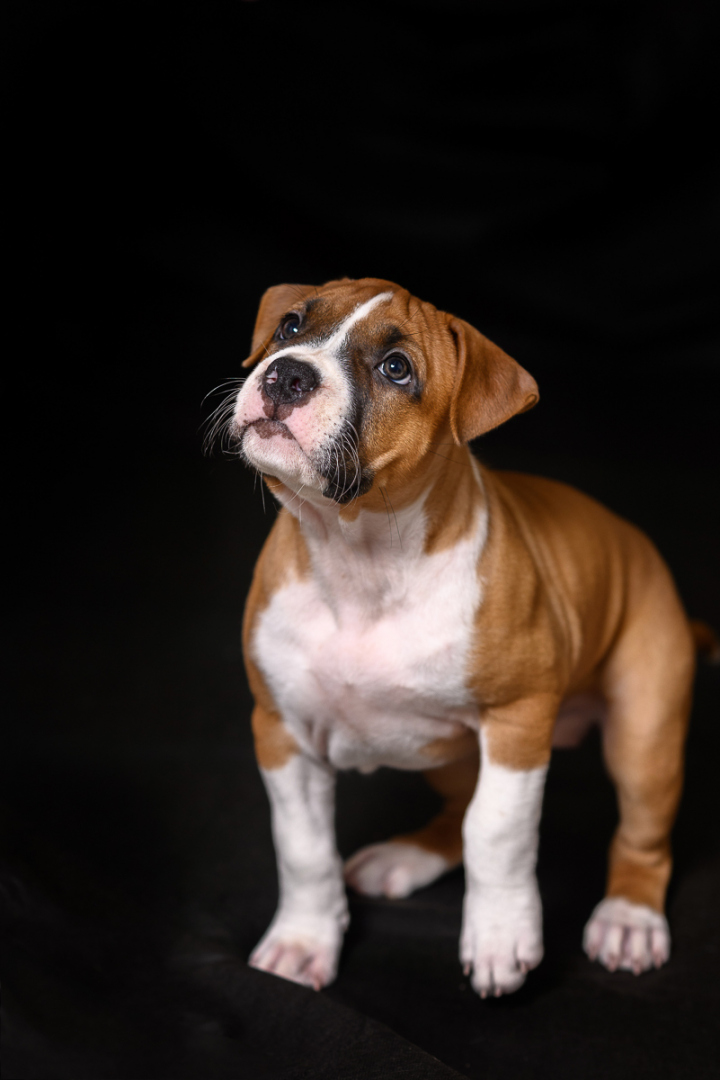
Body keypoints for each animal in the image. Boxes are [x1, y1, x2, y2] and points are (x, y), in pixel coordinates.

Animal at [226, 276, 699, 993]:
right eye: (290, 327)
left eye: (397, 369)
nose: (288, 375)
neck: (360, 555)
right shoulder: (282, 732)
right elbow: (303, 846)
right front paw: (304, 941)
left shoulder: (517, 722)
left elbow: (496, 833)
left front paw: (500, 937)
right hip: (445, 753)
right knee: (453, 815)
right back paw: (406, 857)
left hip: (645, 733)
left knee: (642, 833)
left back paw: (629, 918)